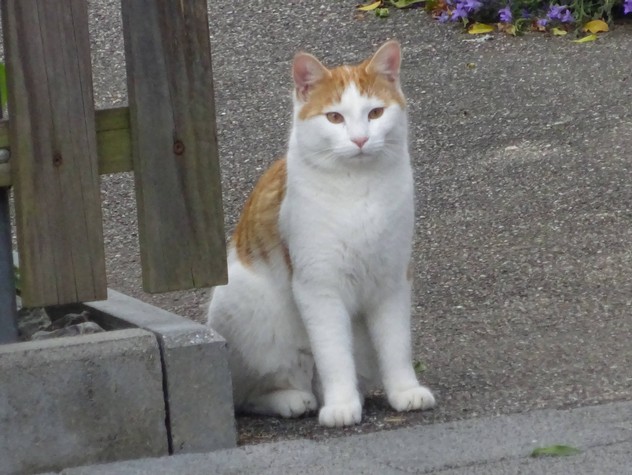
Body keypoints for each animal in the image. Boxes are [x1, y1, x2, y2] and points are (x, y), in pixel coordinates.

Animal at [207, 40, 435, 428]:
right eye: (334, 118)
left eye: (375, 113)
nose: (360, 139)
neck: (359, 190)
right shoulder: (319, 286)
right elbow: (333, 353)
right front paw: (341, 404)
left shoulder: (392, 279)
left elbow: (396, 344)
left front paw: (404, 390)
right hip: (241, 302)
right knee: (247, 396)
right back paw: (292, 400)